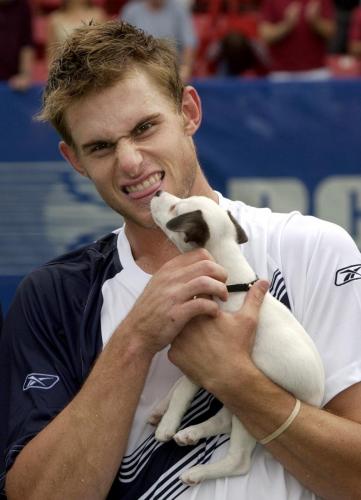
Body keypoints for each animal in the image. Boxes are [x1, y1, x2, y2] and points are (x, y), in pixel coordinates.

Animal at [149, 190, 324, 484]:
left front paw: (167, 423)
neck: (231, 284)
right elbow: (177, 385)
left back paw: (198, 470)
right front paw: (161, 407)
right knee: (224, 420)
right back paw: (191, 433)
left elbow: (183, 389)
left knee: (239, 460)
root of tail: (316, 401)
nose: (159, 192)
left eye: (175, 208)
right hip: (237, 396)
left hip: (251, 404)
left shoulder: (204, 359)